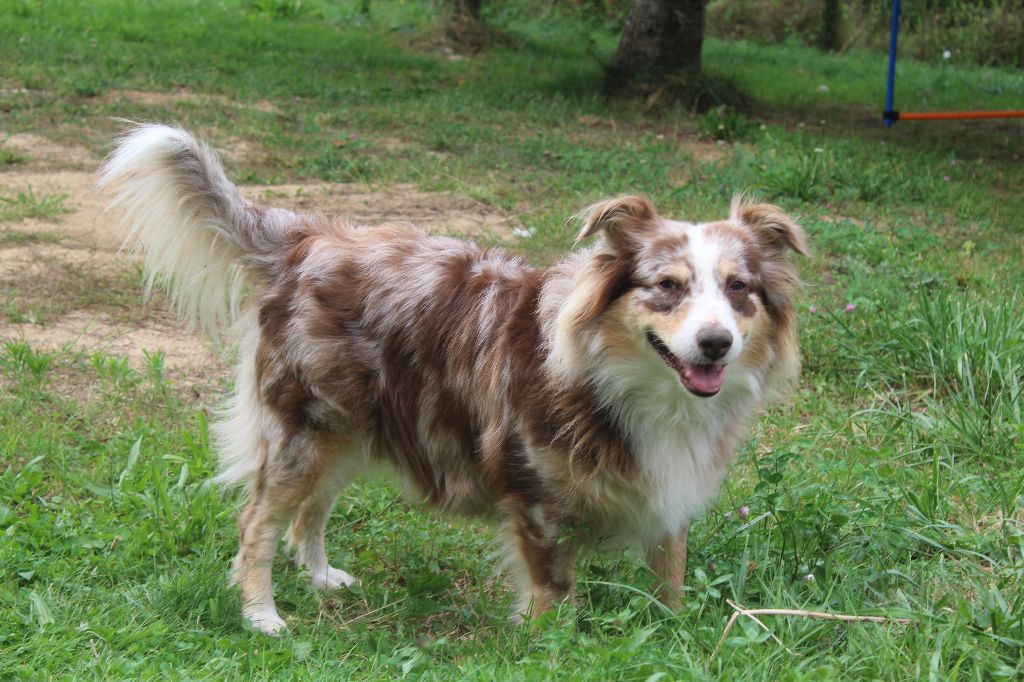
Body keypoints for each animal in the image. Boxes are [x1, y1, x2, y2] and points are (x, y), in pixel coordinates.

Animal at [99, 124, 806, 634]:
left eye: (738, 289)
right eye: (668, 287)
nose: (716, 343)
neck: (624, 383)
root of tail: (306, 240)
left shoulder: (667, 494)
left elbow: (671, 578)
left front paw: (676, 635)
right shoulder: (535, 499)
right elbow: (554, 592)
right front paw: (554, 649)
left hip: (352, 429)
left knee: (312, 511)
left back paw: (322, 578)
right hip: (301, 430)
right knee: (258, 524)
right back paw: (262, 616)